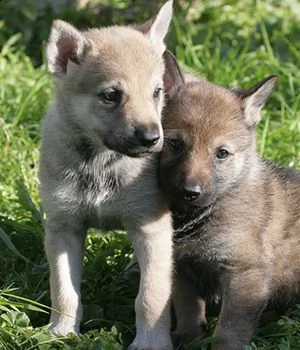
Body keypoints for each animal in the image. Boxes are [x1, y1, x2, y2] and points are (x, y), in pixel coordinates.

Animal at [40, 1, 176, 348]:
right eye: (111, 95)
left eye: (156, 92)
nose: (152, 139)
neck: (101, 163)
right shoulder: (63, 227)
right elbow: (64, 290)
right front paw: (61, 332)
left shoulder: (151, 229)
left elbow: (151, 296)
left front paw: (151, 342)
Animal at [161, 52, 300, 350]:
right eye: (176, 144)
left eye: (222, 153)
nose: (190, 191)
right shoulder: (180, 268)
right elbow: (188, 308)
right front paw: (188, 336)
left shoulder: (244, 273)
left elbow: (229, 329)